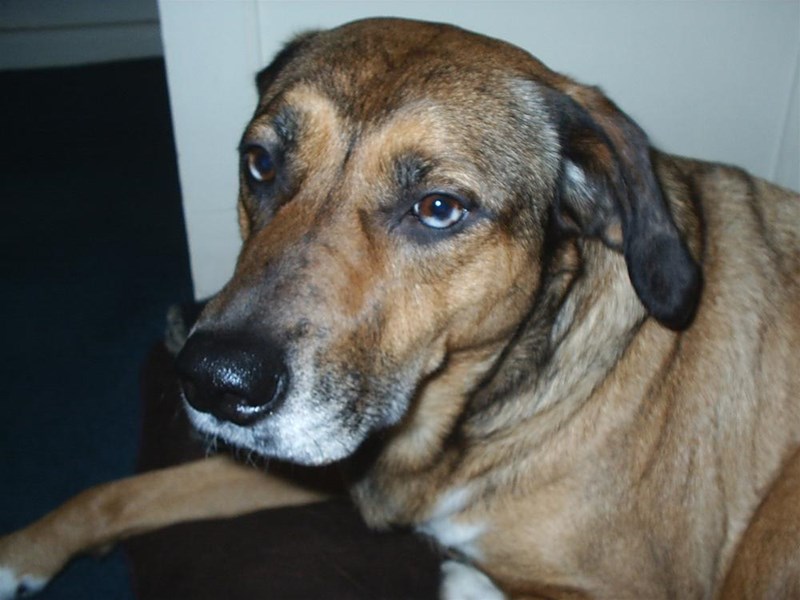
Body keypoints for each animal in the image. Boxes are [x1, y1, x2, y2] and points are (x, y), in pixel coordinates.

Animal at [1, 17, 799, 599]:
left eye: (438, 208)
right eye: (259, 162)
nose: (214, 382)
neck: (459, 426)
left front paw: (467, 577)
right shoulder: (321, 457)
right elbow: (119, 494)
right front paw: (20, 552)